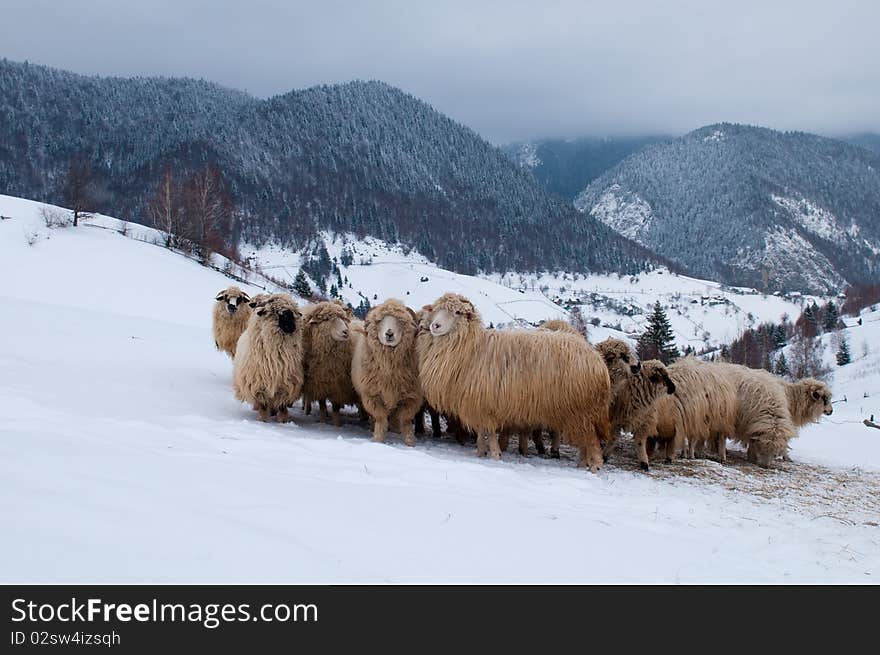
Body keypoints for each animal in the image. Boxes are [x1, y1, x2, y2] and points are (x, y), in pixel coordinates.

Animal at [232, 294, 304, 426]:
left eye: (293, 313)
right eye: (281, 314)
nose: (293, 327)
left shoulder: (286, 385)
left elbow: (282, 406)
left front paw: (283, 420)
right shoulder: (259, 385)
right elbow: (264, 404)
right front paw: (263, 420)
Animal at [350, 298, 422, 446]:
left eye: (401, 321)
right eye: (379, 321)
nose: (389, 334)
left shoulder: (411, 397)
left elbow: (406, 420)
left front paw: (410, 441)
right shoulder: (372, 396)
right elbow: (380, 418)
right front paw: (378, 439)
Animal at [420, 292, 612, 472]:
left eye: (458, 312)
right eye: (436, 309)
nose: (434, 326)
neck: (472, 347)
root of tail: (598, 361)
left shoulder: (486, 404)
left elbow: (490, 432)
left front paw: (495, 455)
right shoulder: (477, 404)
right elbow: (482, 431)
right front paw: (481, 453)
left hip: (581, 411)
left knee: (591, 441)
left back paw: (595, 467)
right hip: (577, 414)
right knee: (585, 441)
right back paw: (582, 464)